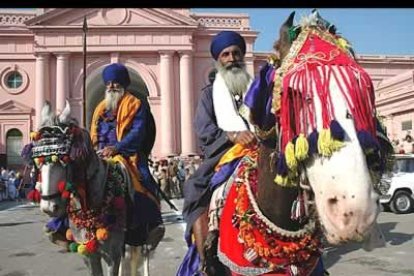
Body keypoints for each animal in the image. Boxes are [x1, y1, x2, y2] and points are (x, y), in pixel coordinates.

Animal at [21, 102, 163, 276]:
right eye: (37, 160)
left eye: (64, 159)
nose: (49, 207)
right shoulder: (88, 253)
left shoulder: (112, 254)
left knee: (144, 253)